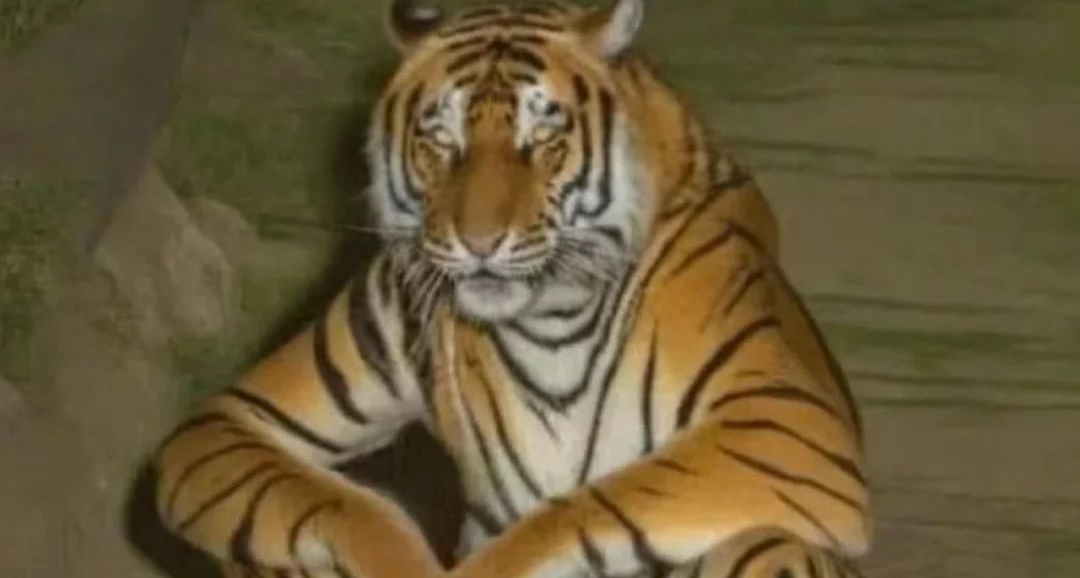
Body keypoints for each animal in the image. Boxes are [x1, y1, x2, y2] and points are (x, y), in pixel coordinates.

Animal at [151, 1, 873, 577]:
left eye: (543, 137)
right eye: (442, 139)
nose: (478, 241)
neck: (549, 318)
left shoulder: (787, 423)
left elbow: (581, 509)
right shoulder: (234, 420)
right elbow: (353, 505)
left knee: (764, 540)